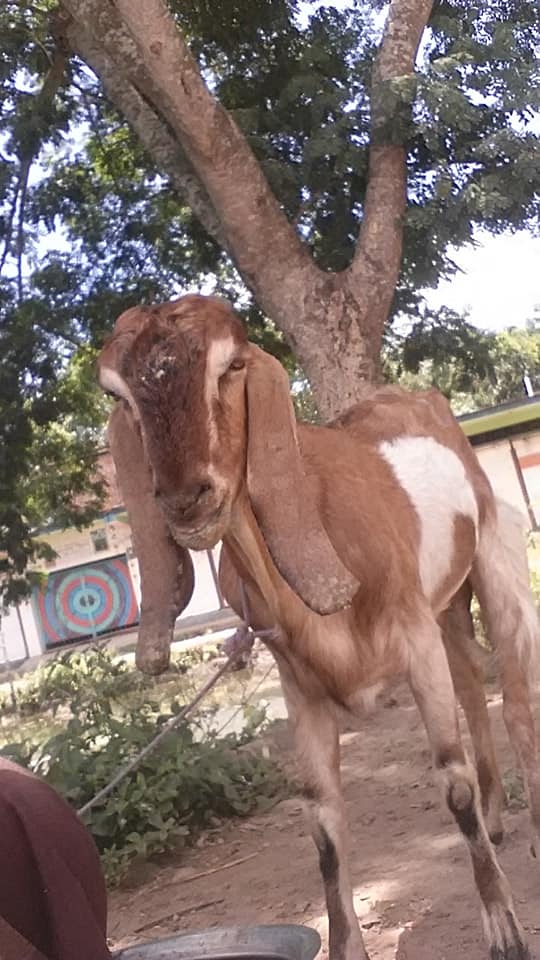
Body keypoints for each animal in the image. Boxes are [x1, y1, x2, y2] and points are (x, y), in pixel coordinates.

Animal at [98, 294, 539, 960]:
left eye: (231, 366)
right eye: (119, 395)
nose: (184, 500)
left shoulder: (414, 636)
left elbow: (452, 778)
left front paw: (504, 930)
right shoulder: (300, 686)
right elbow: (323, 824)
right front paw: (347, 945)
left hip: (489, 552)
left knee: (512, 696)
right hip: (446, 602)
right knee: (470, 679)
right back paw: (496, 817)